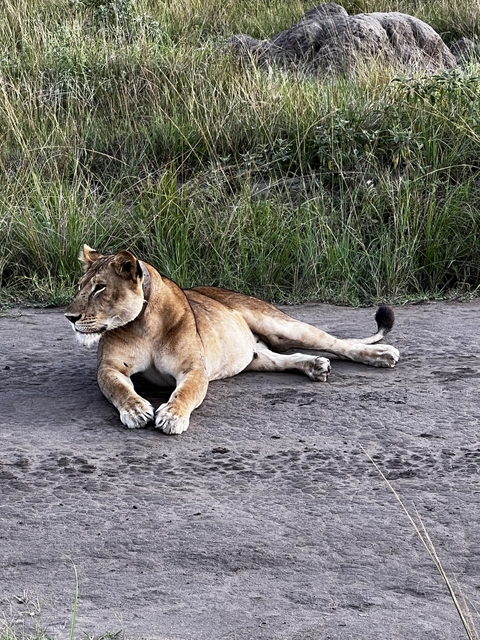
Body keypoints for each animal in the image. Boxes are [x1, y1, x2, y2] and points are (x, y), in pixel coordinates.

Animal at [65, 245, 400, 435]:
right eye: (79, 285)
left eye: (100, 288)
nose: (69, 317)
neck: (143, 325)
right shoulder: (110, 368)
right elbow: (119, 389)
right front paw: (136, 410)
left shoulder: (194, 369)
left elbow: (185, 394)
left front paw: (172, 416)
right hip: (255, 356)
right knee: (284, 358)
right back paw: (316, 366)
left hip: (280, 323)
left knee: (338, 343)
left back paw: (383, 355)